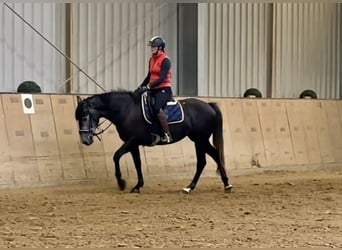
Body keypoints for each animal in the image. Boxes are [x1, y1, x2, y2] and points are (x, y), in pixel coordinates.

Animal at [75, 90, 232, 193]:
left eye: (84, 118)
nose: (85, 140)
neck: (126, 110)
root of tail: (208, 105)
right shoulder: (133, 143)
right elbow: (137, 163)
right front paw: (137, 186)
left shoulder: (132, 140)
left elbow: (116, 156)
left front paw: (121, 183)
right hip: (198, 139)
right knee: (208, 158)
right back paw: (199, 186)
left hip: (200, 139)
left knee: (209, 158)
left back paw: (217, 185)